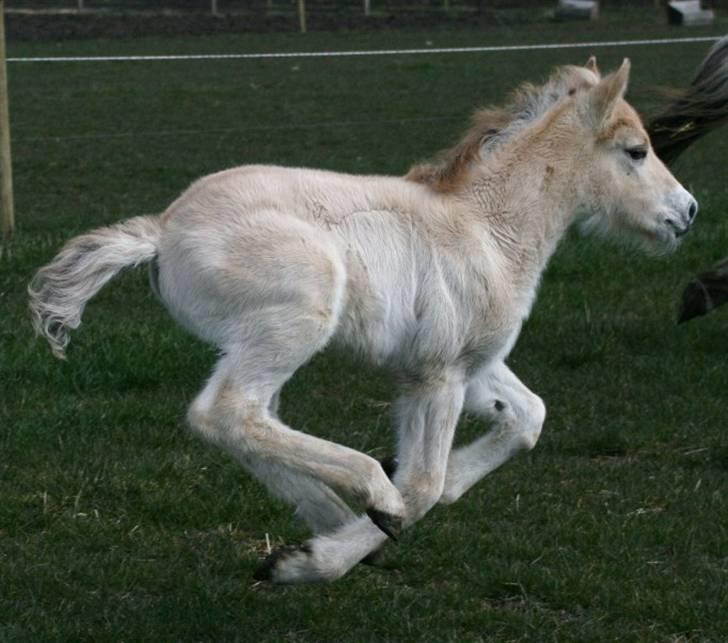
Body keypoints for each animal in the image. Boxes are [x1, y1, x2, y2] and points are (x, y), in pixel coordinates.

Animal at [31, 59, 696, 584]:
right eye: (637, 151)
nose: (687, 212)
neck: (487, 229)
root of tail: (162, 231)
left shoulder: (473, 364)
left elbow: (527, 418)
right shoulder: (438, 373)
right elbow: (423, 485)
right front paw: (326, 553)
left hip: (260, 339)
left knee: (248, 420)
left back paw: (332, 518)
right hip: (297, 318)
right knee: (225, 412)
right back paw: (364, 501)